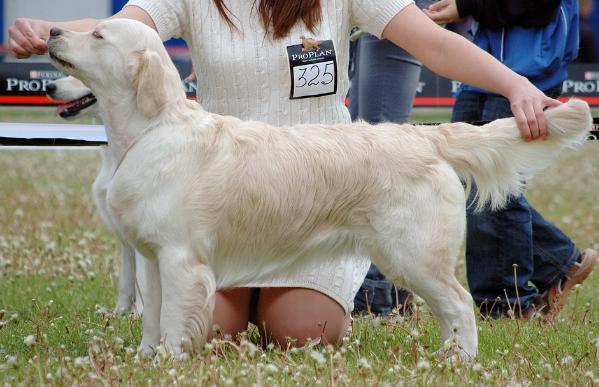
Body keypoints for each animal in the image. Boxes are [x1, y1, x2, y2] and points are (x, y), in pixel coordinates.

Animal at [47, 18, 592, 358]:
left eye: (97, 33)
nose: (51, 29)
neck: (146, 132)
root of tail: (424, 134)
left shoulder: (182, 258)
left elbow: (177, 322)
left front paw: (171, 363)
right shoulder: (150, 257)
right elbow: (152, 316)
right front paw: (145, 358)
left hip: (412, 252)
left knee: (459, 304)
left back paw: (459, 361)